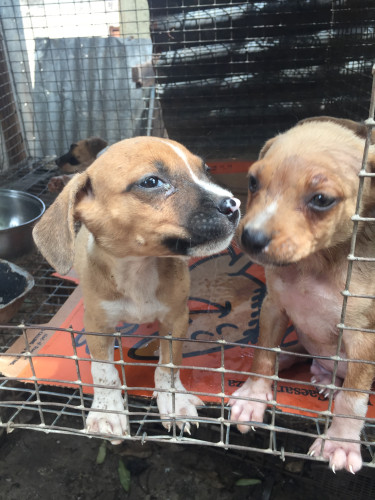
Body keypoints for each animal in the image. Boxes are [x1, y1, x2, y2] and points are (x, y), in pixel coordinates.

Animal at [34, 136, 241, 442]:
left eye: (206, 170)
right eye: (151, 182)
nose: (233, 205)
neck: (138, 268)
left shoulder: (176, 319)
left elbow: (168, 366)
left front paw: (174, 401)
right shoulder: (96, 324)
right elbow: (103, 371)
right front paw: (107, 411)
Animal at [231, 116, 375, 472]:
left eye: (321, 199)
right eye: (253, 181)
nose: (251, 238)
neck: (314, 263)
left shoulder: (363, 339)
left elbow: (354, 398)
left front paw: (341, 441)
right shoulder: (273, 307)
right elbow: (264, 354)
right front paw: (254, 396)